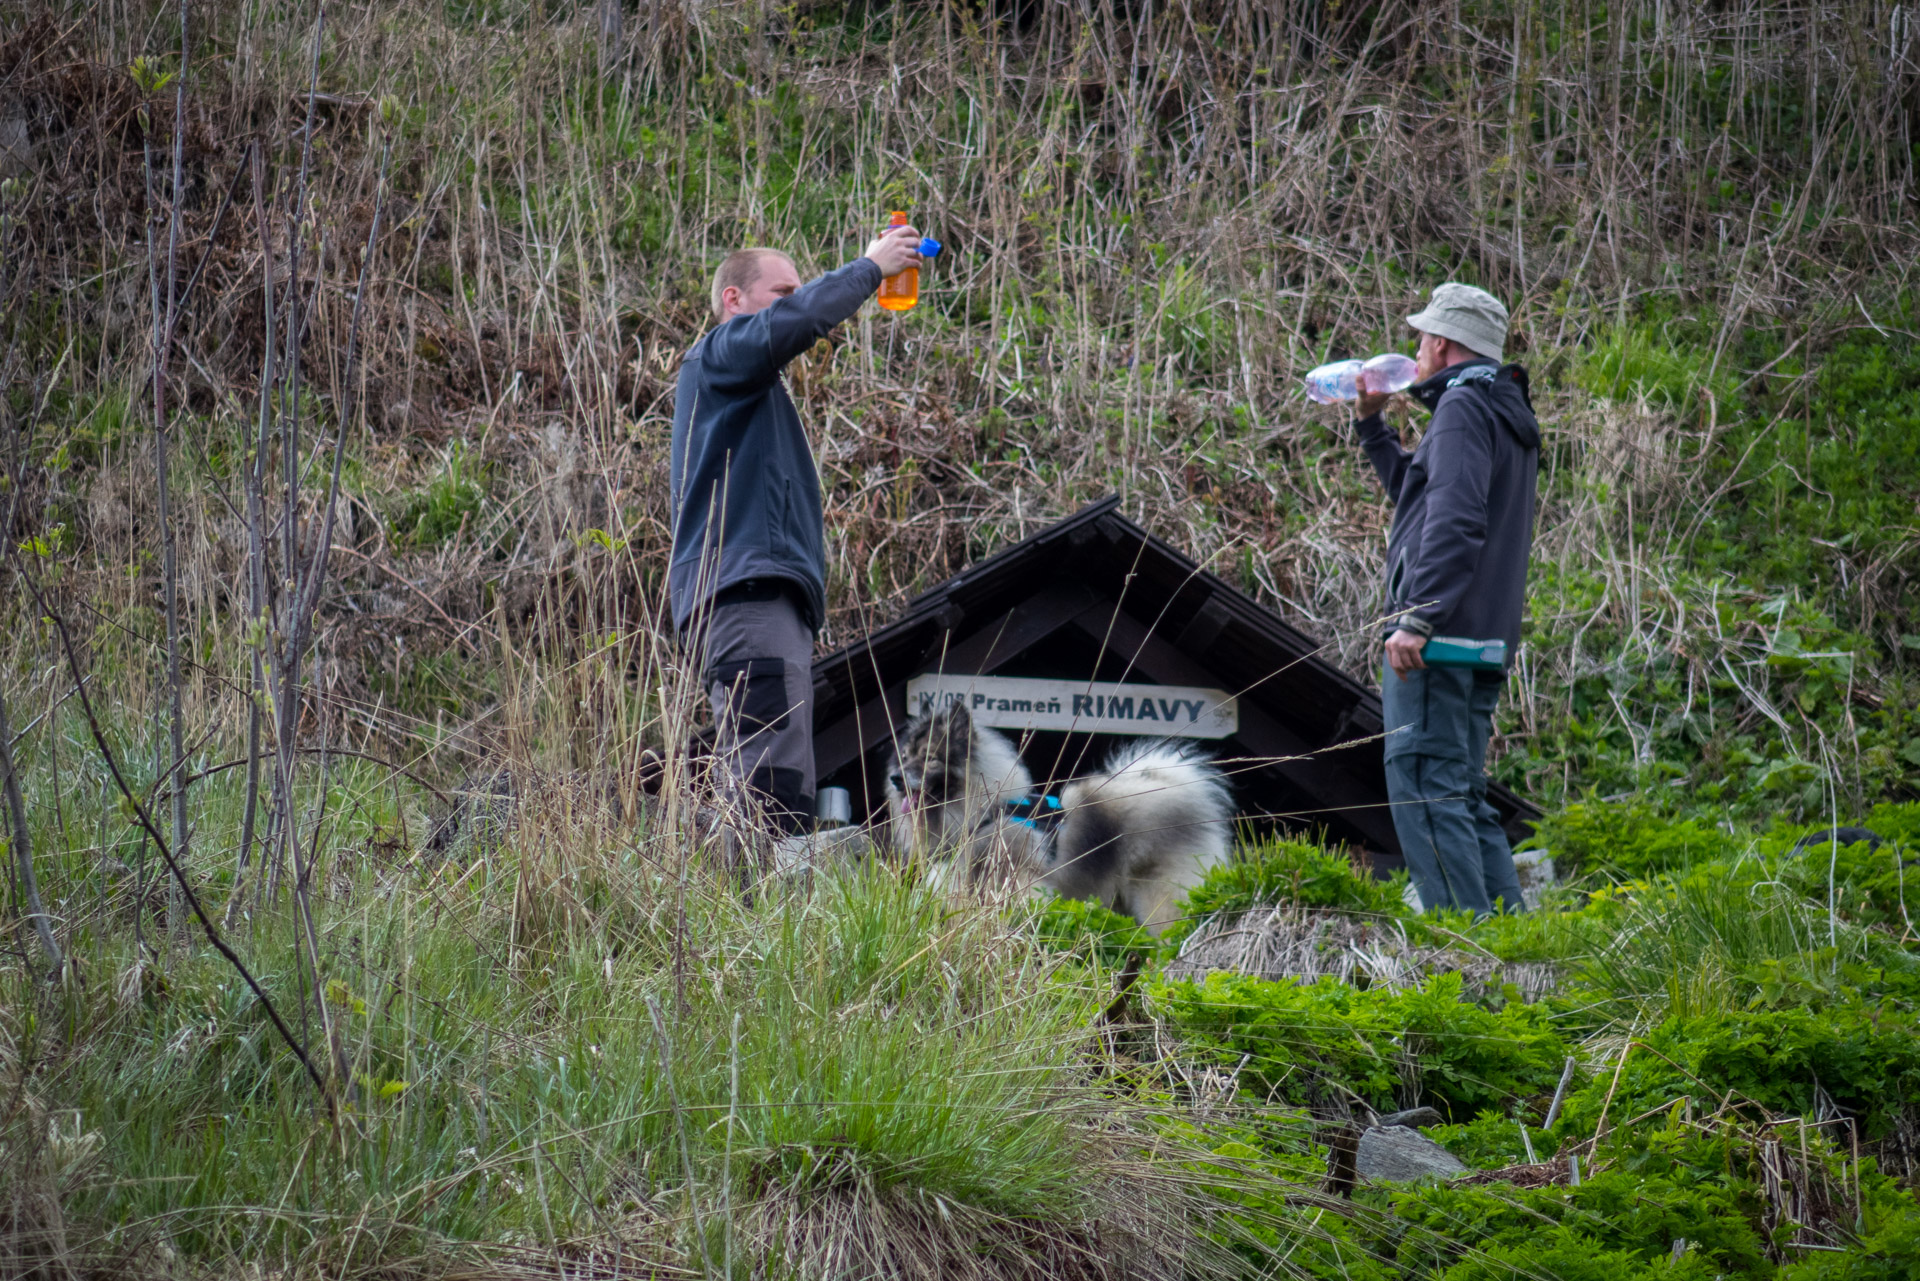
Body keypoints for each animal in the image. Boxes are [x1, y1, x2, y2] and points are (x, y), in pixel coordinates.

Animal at [879, 702, 1228, 933]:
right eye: (905, 757)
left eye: (931, 759)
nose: (895, 778)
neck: (985, 812)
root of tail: (1178, 787)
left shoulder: (1020, 881)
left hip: (1157, 899)